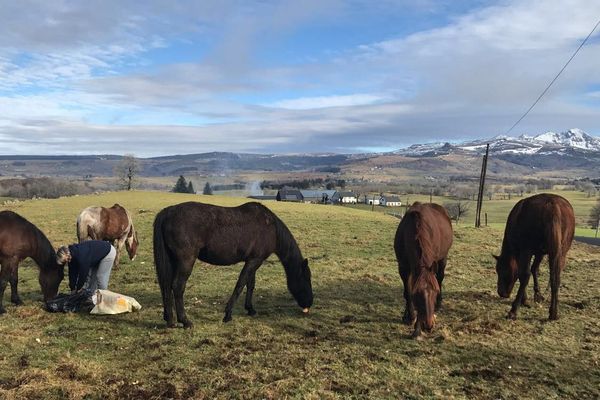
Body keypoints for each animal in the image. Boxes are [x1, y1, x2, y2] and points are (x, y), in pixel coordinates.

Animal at [152, 202, 314, 326]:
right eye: (306, 279)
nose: (309, 303)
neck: (270, 227)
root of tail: (168, 212)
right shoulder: (255, 261)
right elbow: (240, 284)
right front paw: (228, 314)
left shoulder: (253, 260)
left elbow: (250, 285)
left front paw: (250, 309)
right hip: (186, 261)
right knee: (177, 286)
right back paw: (185, 321)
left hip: (173, 261)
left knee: (166, 286)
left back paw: (169, 320)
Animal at [392, 203, 452, 338]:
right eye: (417, 294)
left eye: (435, 291)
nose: (429, 325)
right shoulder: (403, 267)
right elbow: (408, 292)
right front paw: (410, 316)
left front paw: (417, 329)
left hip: (442, 259)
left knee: (440, 277)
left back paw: (439, 304)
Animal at [494, 192, 576, 320]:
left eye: (500, 270)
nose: (501, 293)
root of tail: (552, 205)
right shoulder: (539, 253)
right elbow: (534, 269)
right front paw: (538, 294)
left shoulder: (523, 252)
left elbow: (523, 274)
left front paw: (524, 300)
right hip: (561, 252)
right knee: (555, 278)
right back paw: (553, 313)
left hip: (527, 250)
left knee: (525, 275)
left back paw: (514, 310)